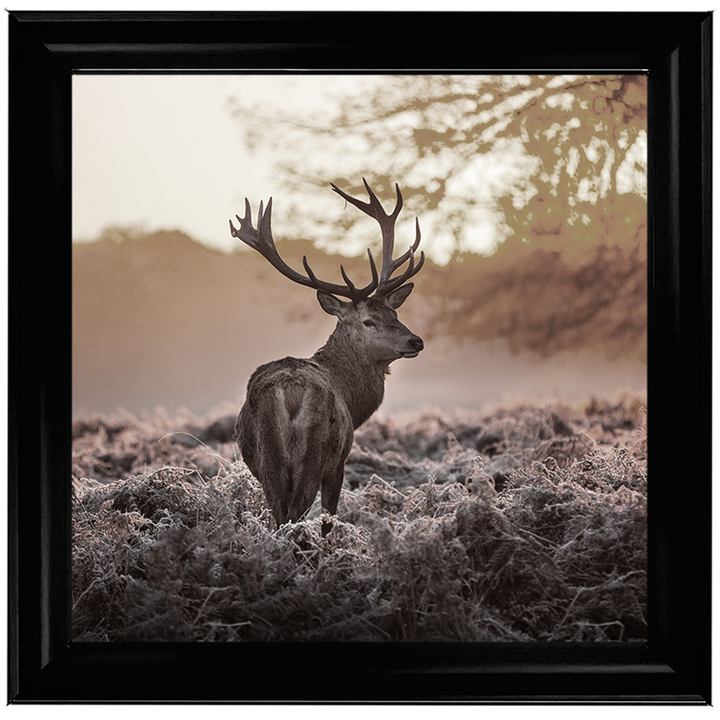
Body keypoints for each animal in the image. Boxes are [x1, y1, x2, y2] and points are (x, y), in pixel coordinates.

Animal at [230, 179, 425, 537]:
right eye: (368, 321)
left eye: (394, 313)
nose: (415, 340)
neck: (352, 399)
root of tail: (290, 390)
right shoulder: (339, 461)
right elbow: (329, 519)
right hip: (315, 453)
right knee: (295, 514)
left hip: (268, 459)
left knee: (279, 515)